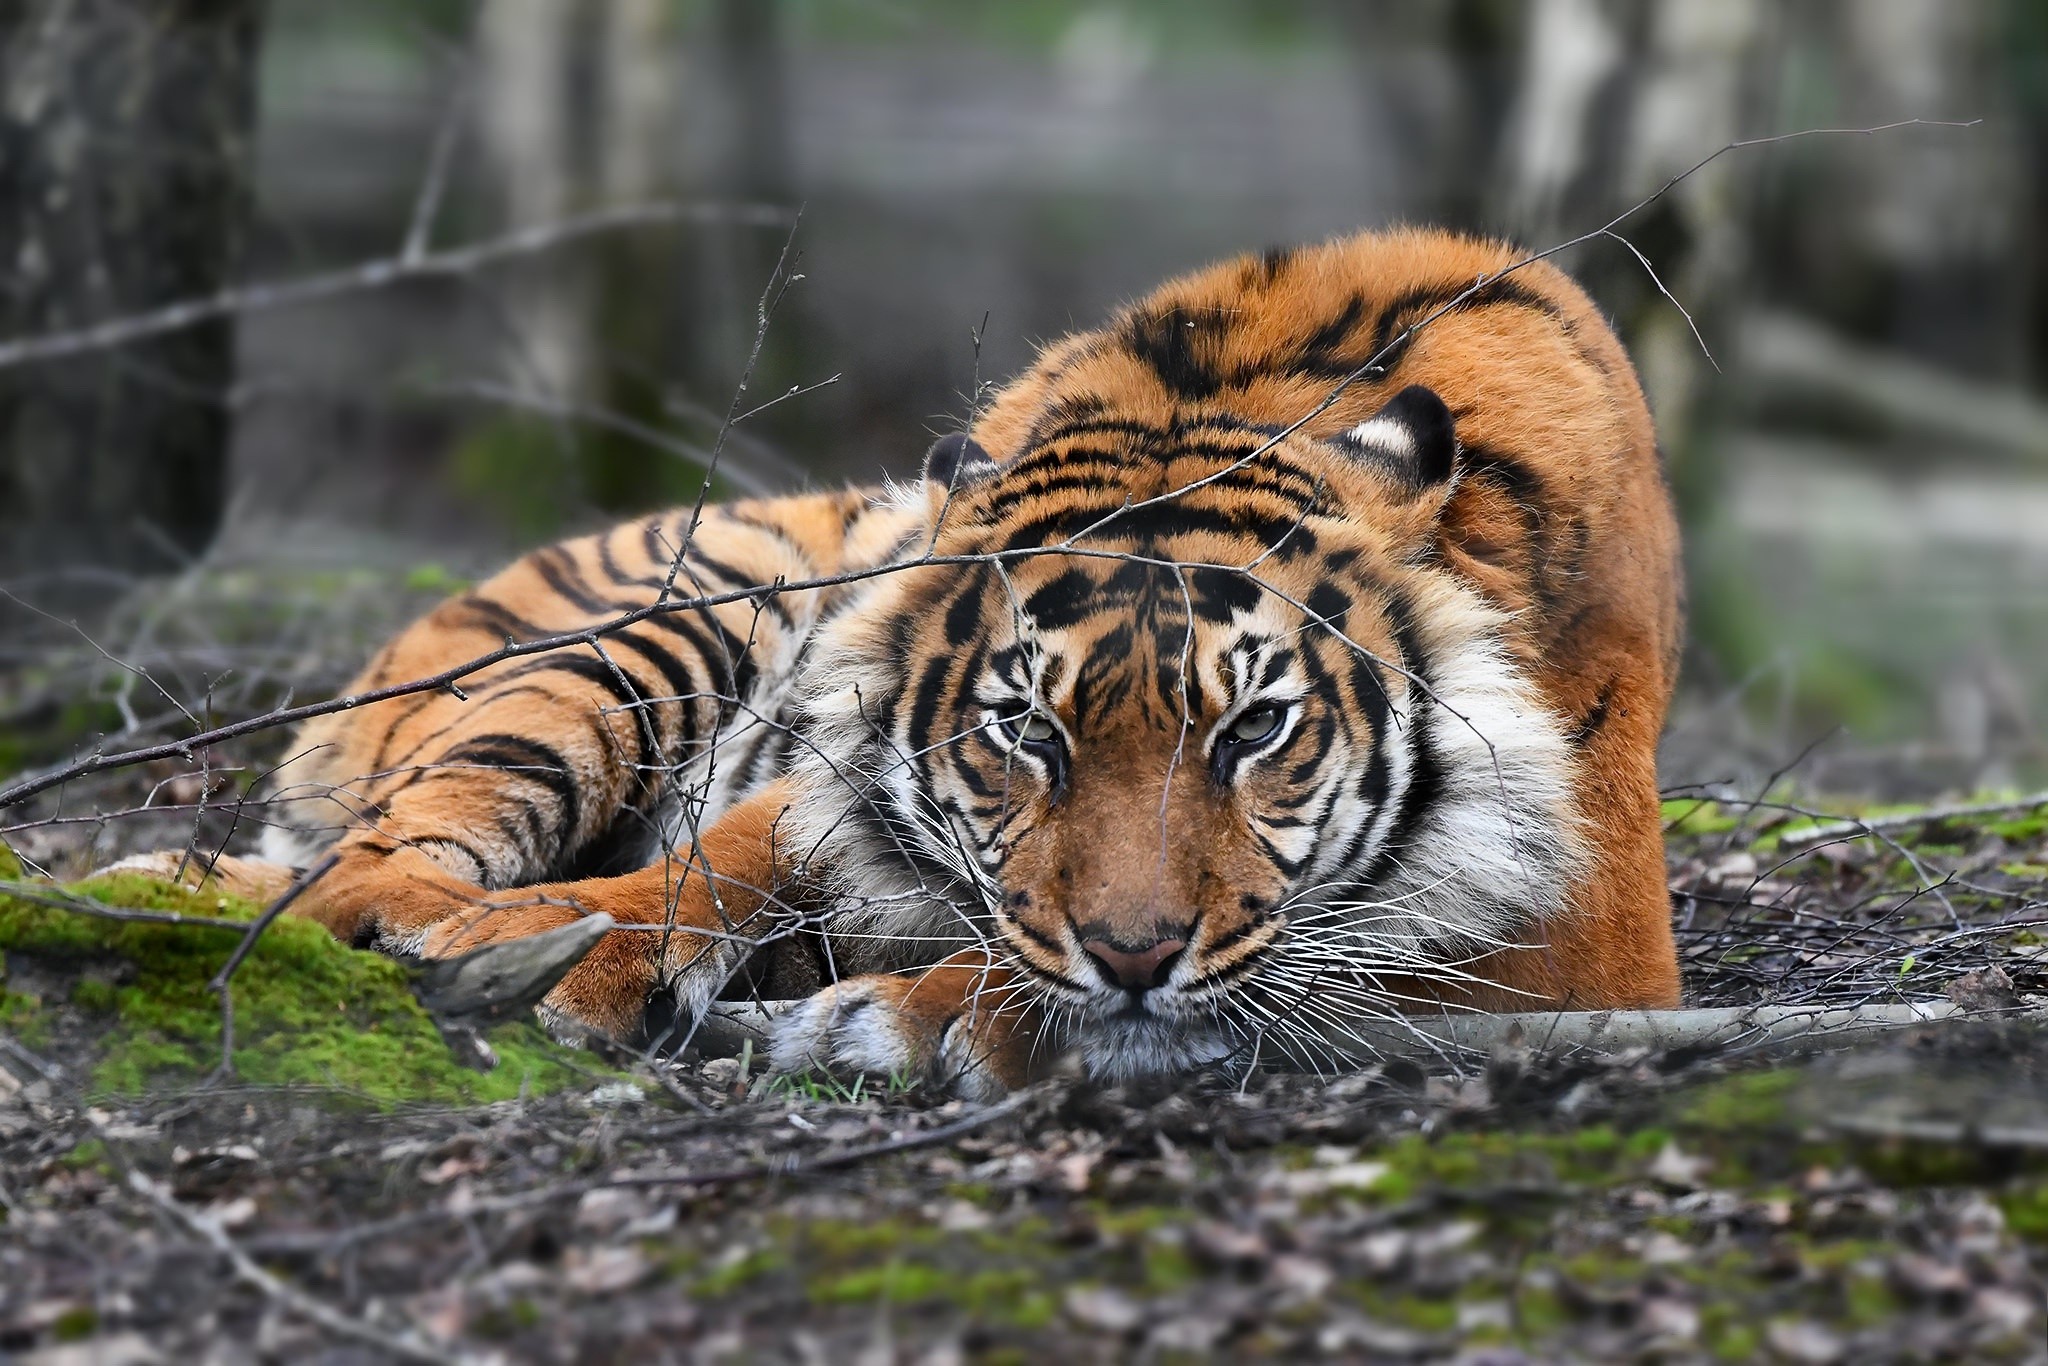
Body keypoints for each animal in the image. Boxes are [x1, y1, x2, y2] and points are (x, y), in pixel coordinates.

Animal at [114, 227, 1684, 1098]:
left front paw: (894, 1015)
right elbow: (728, 851)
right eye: (1024, 731)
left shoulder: (1586, 941)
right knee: (373, 850)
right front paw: (564, 952)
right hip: (664, 627)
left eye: (1253, 732)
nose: (1133, 952)